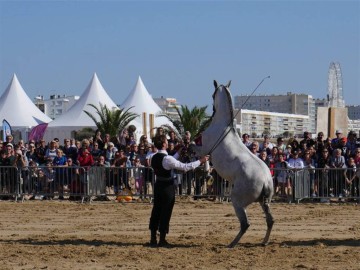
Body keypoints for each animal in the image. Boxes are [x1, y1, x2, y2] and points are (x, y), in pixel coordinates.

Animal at [195, 80, 274, 247]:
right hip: (265, 202)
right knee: (270, 221)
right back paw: (263, 242)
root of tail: (265, 180)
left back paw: (232, 244)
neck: (222, 125)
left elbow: (197, 152)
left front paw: (207, 174)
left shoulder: (204, 149)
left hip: (237, 201)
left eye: (213, 94)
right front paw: (207, 175)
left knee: (245, 224)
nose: (212, 109)